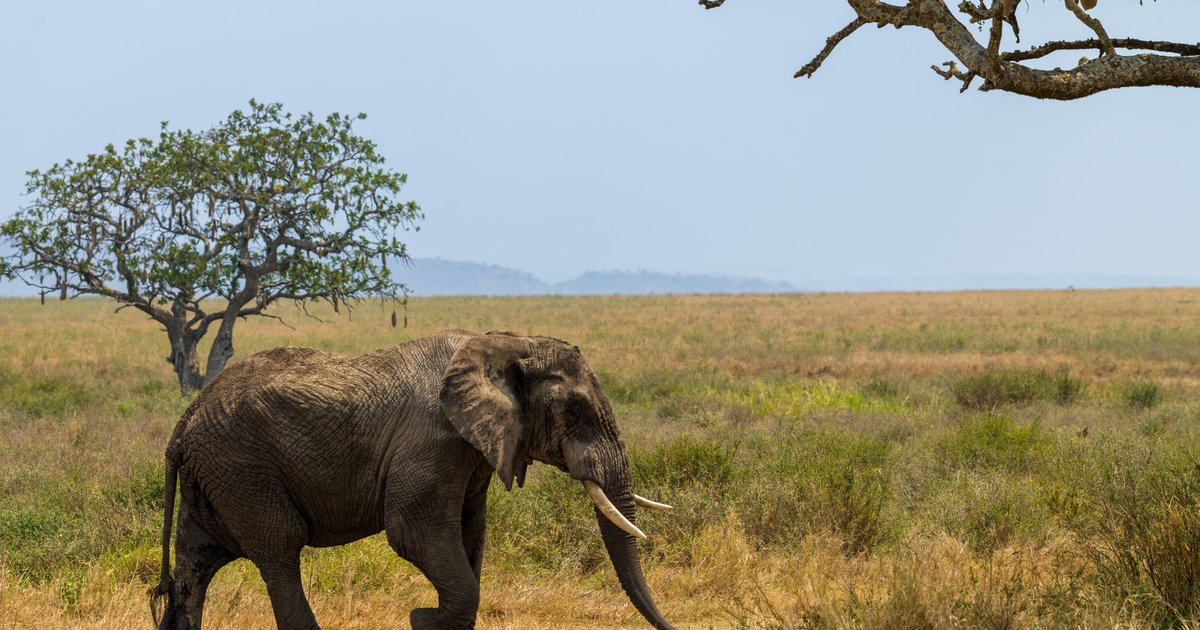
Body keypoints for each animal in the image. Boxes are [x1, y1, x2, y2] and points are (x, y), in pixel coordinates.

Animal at [150, 329, 675, 630]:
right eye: (575, 411)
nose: (671, 625)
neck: (509, 342)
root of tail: (185, 419)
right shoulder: (433, 440)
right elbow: (414, 534)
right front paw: (422, 618)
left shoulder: (473, 451)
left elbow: (470, 532)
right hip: (242, 469)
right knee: (279, 551)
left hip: (215, 475)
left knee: (196, 564)